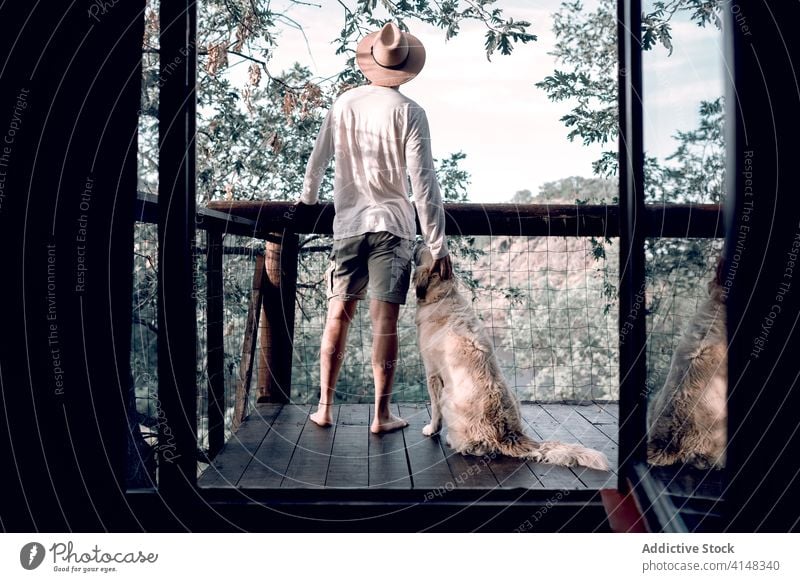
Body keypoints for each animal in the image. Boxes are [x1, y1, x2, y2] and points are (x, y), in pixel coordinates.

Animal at [416, 244, 608, 472]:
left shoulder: (433, 374)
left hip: (448, 398)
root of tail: (509, 434)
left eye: (424, 250)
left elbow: (434, 408)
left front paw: (432, 429)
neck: (442, 296)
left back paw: (453, 440)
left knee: (476, 447)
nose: (418, 241)